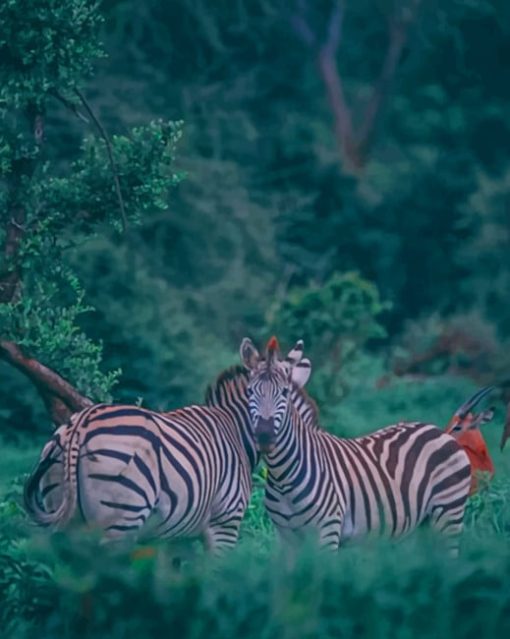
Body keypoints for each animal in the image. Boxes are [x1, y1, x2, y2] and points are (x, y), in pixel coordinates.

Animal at [239, 338, 494, 552]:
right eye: (250, 391)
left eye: (284, 393)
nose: (264, 437)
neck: (283, 475)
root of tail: (439, 431)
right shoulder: (286, 538)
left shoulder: (327, 531)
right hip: (423, 524)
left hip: (449, 513)